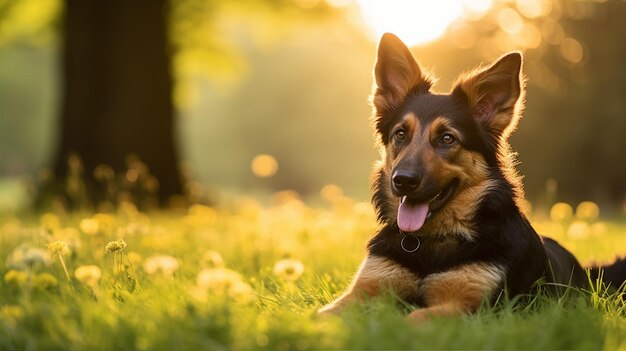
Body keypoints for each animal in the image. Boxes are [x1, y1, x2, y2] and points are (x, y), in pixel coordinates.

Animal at [320, 33, 620, 324]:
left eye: (447, 138)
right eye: (401, 134)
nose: (402, 180)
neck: (428, 243)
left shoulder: (470, 308)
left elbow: (413, 319)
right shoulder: (360, 293)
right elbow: (320, 316)